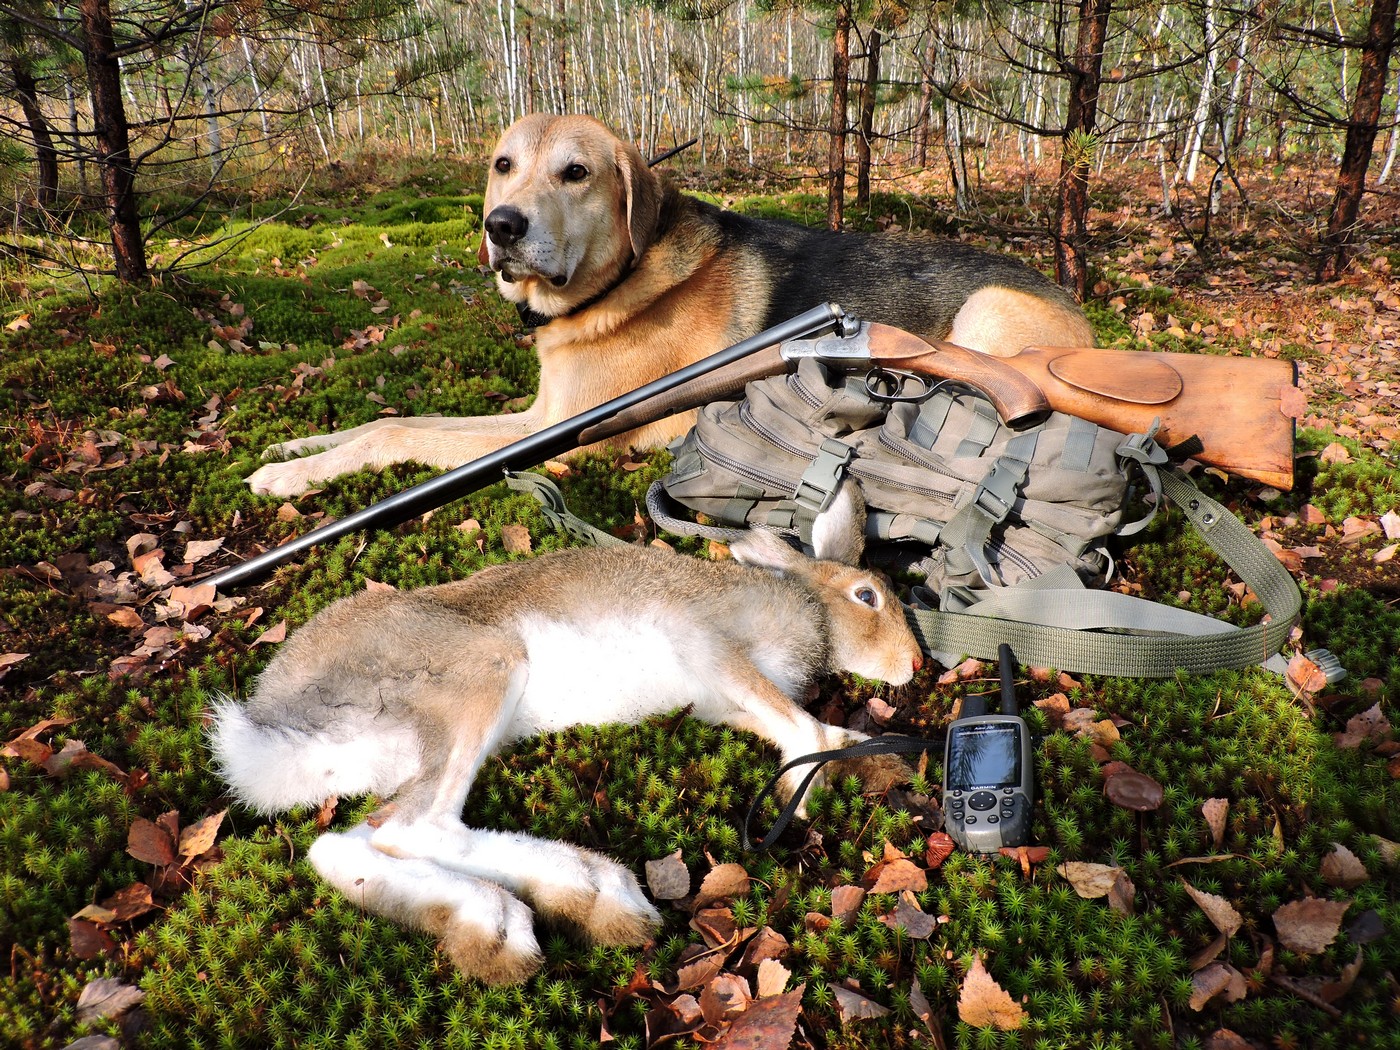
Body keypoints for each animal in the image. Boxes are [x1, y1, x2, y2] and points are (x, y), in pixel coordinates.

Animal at [249, 113, 1092, 498]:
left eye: (577, 172)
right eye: (503, 165)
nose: (502, 227)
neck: (614, 285)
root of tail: (1081, 313)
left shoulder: (560, 433)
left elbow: (398, 437)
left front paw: (291, 480)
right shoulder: (536, 417)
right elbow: (395, 422)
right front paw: (294, 448)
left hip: (985, 314)